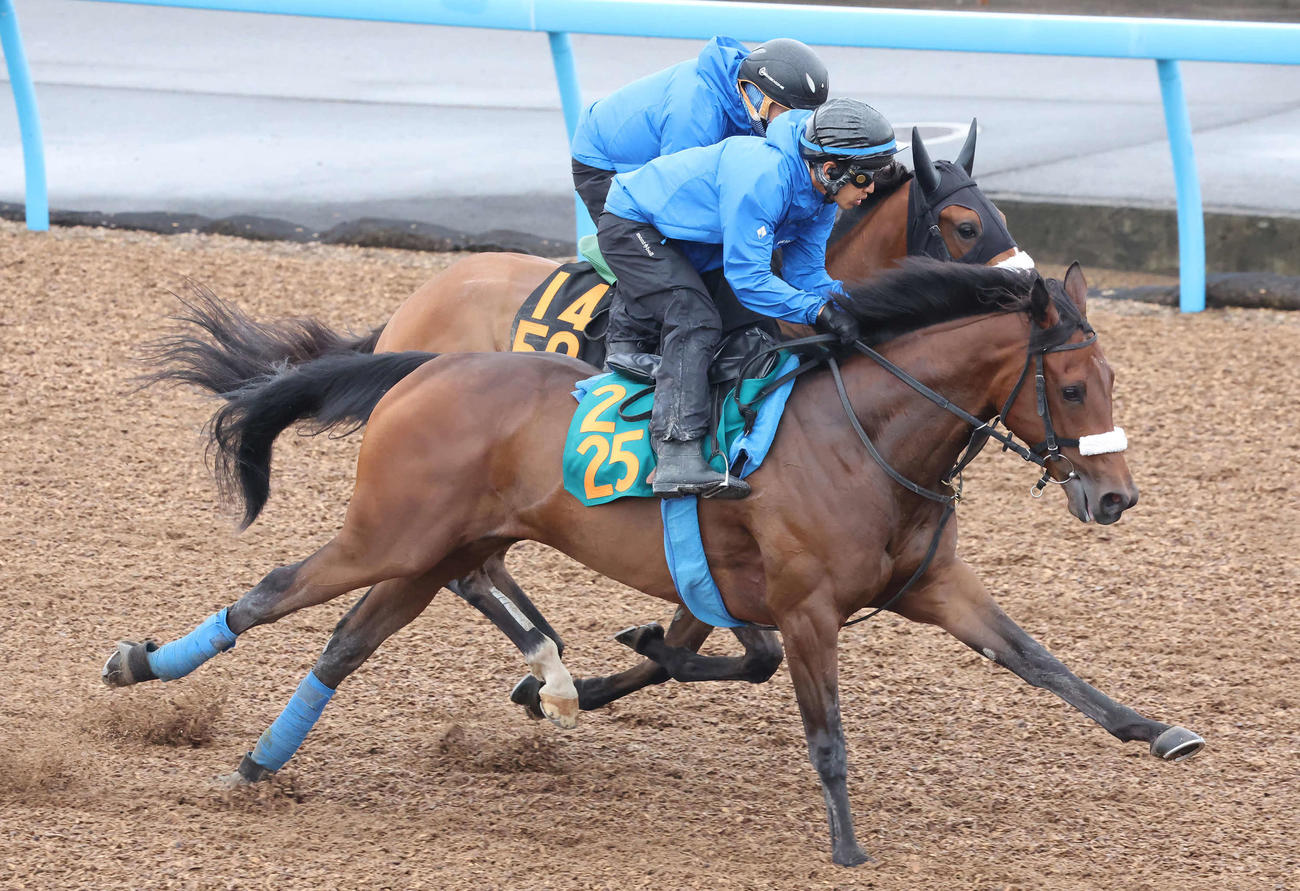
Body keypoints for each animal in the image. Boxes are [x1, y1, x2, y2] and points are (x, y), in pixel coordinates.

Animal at [106, 260, 1203, 866]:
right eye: (1071, 384)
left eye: (1112, 376)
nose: (1115, 497)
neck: (866, 435)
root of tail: (427, 364)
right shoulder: (806, 605)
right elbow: (822, 730)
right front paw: (847, 846)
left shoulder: (929, 585)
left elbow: (1041, 661)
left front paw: (1157, 730)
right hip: (390, 535)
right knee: (271, 594)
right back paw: (142, 667)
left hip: (437, 550)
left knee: (344, 643)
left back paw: (260, 762)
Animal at [144, 125, 1031, 719]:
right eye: (964, 225)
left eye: (1000, 216)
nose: (1026, 285)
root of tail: (409, 310)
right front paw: (607, 666)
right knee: (465, 568)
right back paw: (550, 664)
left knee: (470, 565)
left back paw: (551, 662)